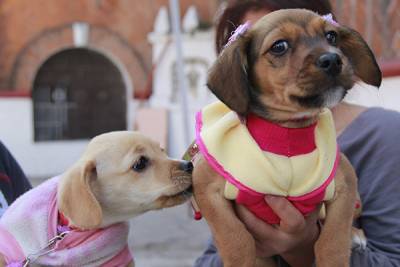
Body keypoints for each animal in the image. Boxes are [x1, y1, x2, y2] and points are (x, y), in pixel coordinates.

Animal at [192, 8, 380, 267]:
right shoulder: (205, 185)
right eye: (279, 46)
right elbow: (236, 238)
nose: (333, 60)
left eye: (331, 37)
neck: (287, 135)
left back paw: (356, 234)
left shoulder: (346, 183)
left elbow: (333, 238)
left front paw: (339, 246)